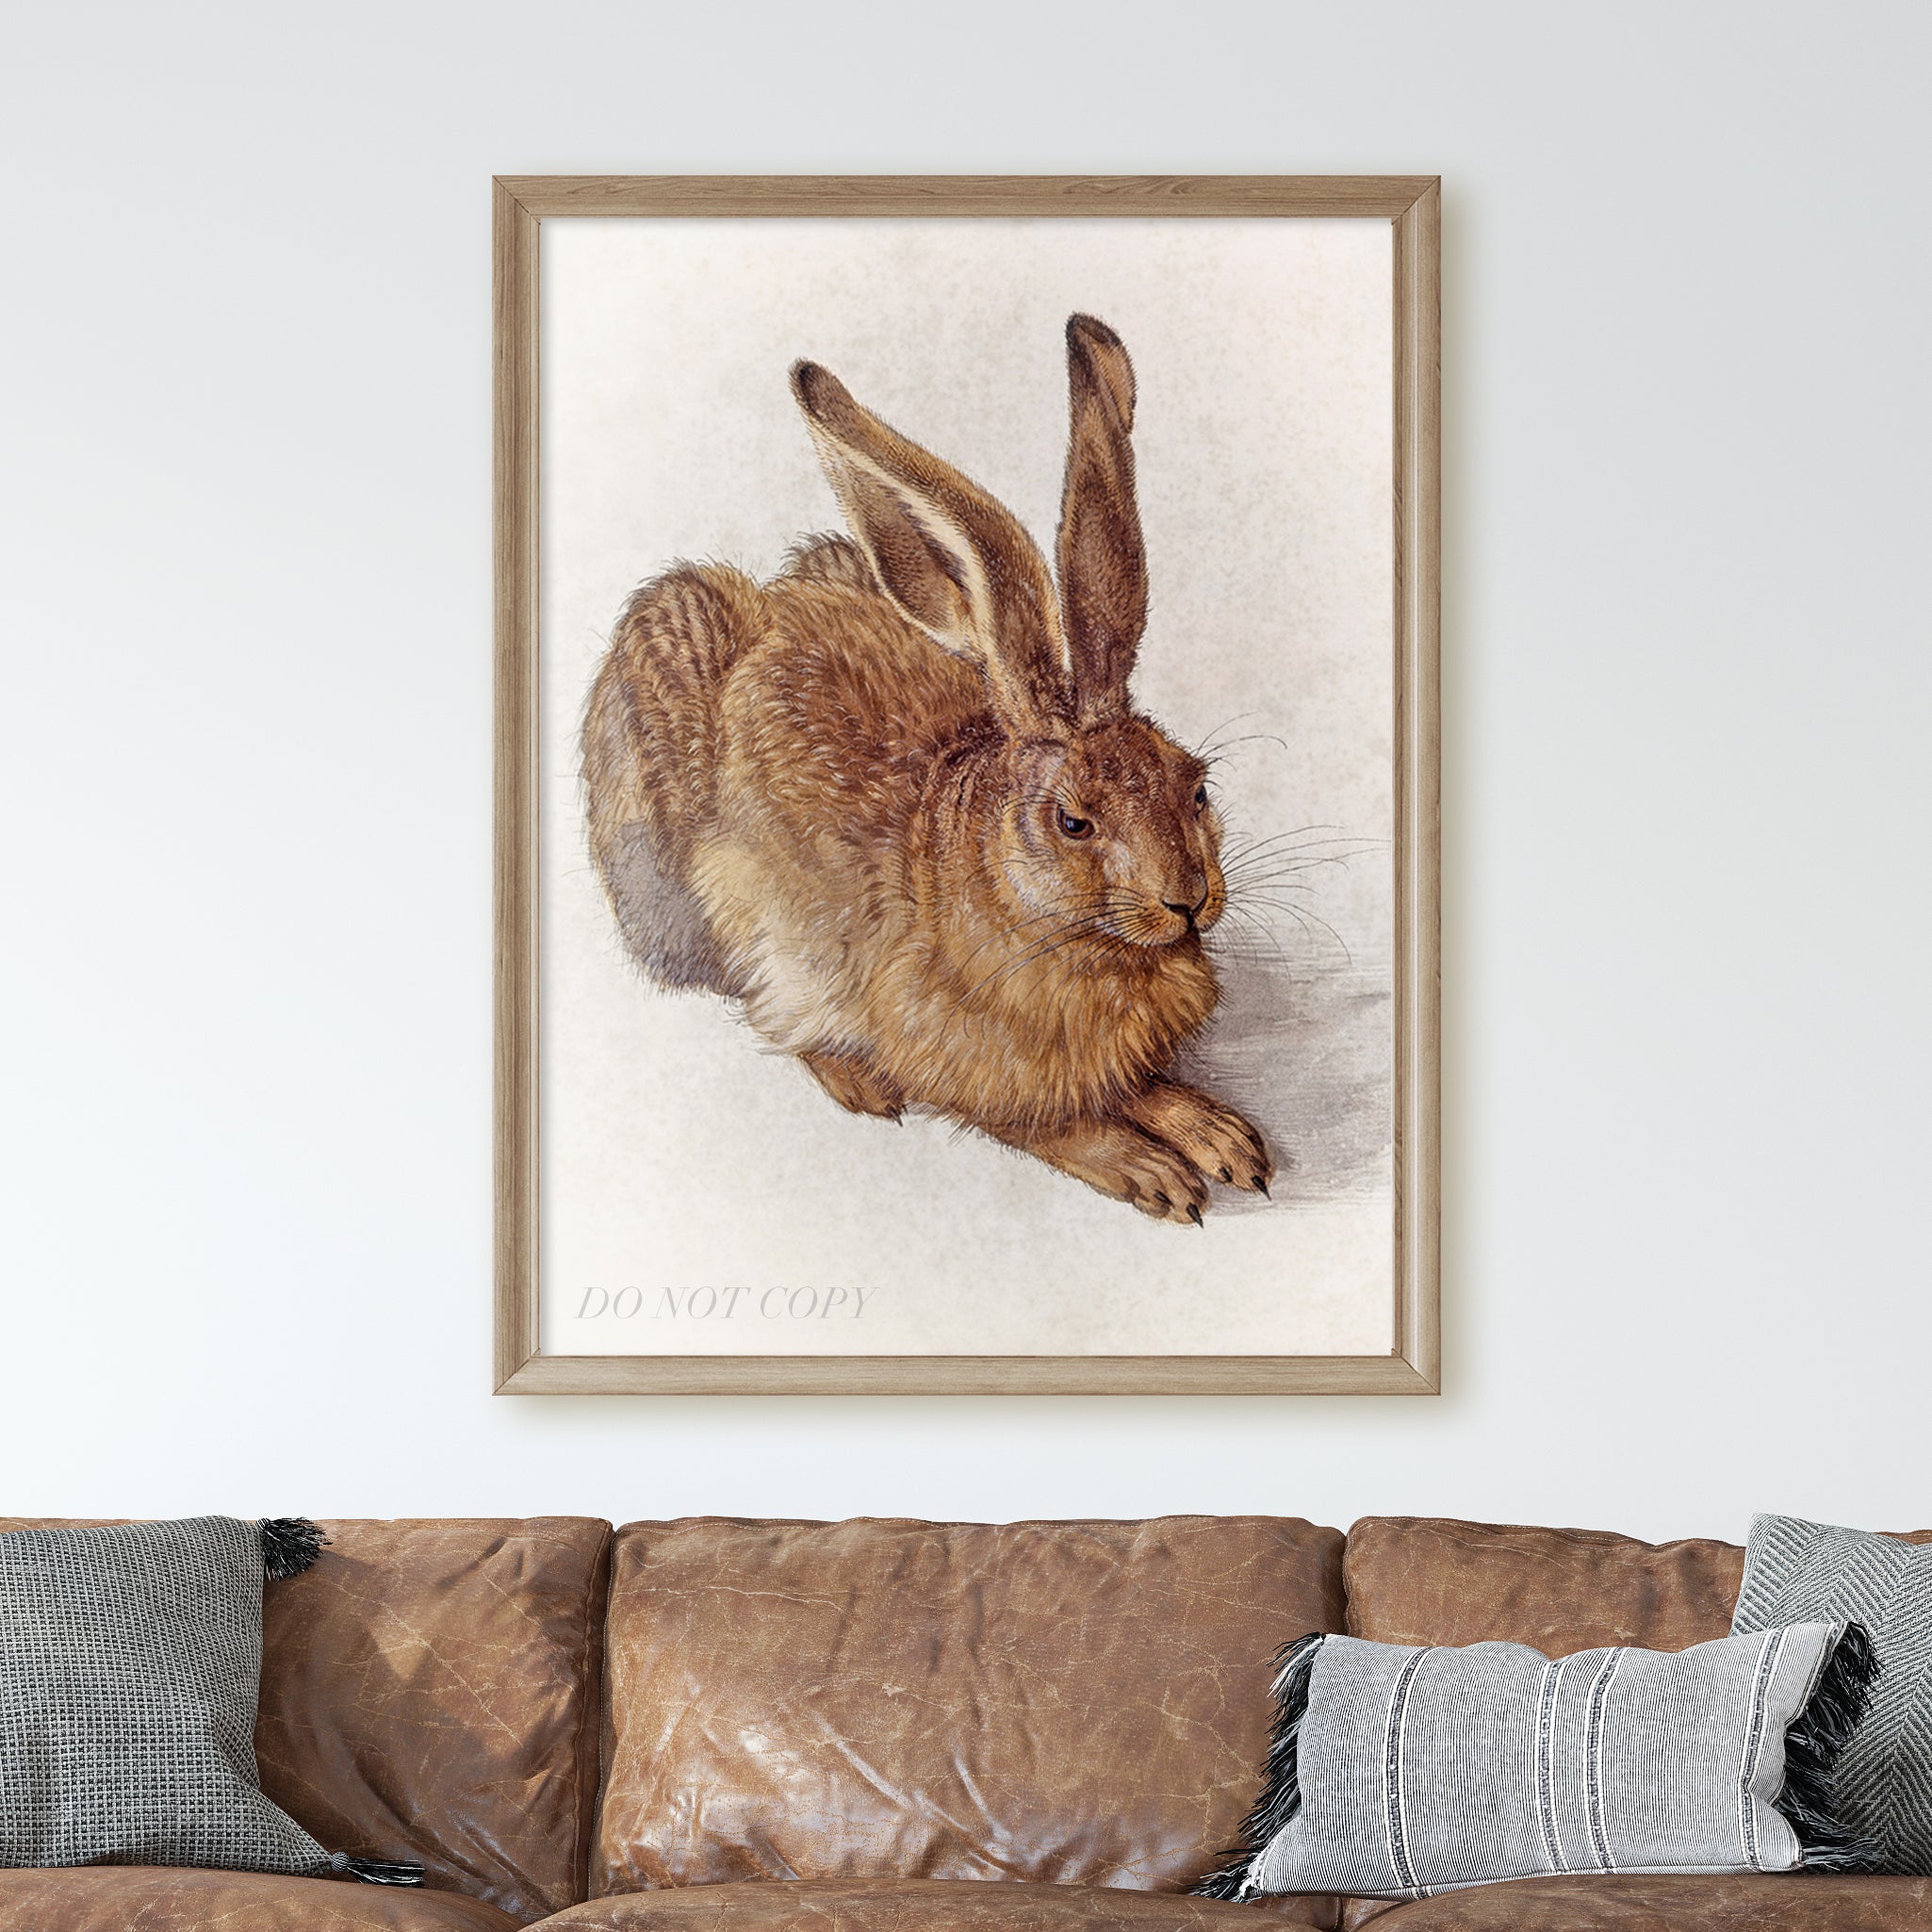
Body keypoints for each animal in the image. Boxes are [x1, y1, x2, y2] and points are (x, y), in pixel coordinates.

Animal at [582, 315, 1273, 1222]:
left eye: (1196, 786)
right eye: (1074, 821)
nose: (1187, 901)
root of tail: (773, 607)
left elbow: (1143, 1087)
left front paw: (1223, 1137)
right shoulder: (955, 1055)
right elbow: (1049, 1121)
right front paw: (1149, 1167)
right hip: (680, 836)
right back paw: (853, 1079)